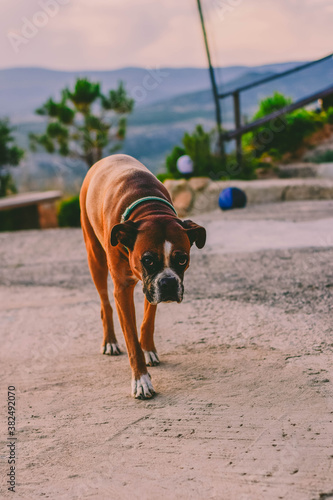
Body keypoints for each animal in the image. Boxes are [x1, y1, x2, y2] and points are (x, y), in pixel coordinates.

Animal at [80, 154, 205, 400]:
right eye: (147, 259)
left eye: (182, 259)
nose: (169, 283)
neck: (149, 209)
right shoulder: (123, 290)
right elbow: (131, 340)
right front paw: (141, 381)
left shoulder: (151, 288)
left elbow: (148, 320)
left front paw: (148, 349)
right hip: (95, 257)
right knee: (105, 303)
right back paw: (110, 341)